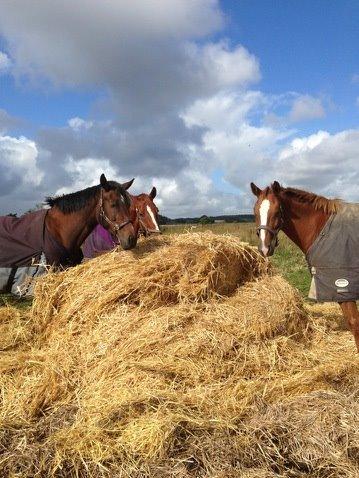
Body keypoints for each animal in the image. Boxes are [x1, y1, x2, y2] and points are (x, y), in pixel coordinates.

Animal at [252, 181, 359, 352]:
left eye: (277, 211)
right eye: (255, 211)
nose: (264, 248)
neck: (321, 229)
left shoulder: (344, 288)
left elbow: (354, 324)